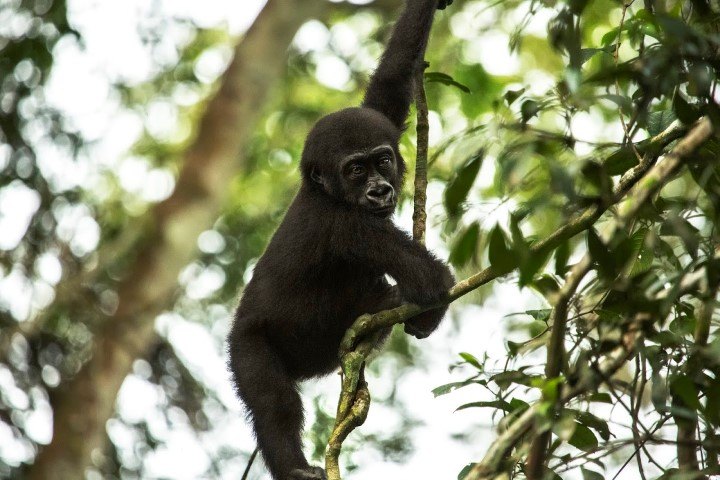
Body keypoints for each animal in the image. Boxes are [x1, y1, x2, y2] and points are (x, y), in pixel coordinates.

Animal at [228, 1, 452, 478]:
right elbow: (430, 279)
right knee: (275, 403)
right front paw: (427, 310)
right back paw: (293, 467)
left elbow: (391, 81)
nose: (379, 190)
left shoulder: (382, 121)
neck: (325, 191)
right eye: (355, 170)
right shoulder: (348, 226)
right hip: (246, 348)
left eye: (382, 161)